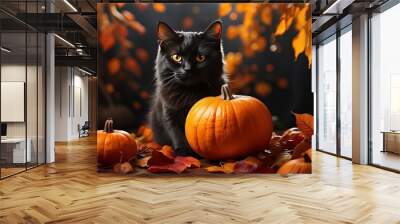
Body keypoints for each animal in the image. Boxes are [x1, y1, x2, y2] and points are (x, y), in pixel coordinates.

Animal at [148, 20, 228, 158]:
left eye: (200, 58)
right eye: (177, 57)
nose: (187, 69)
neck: (189, 93)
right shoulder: (169, 113)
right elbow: (176, 133)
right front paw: (183, 151)